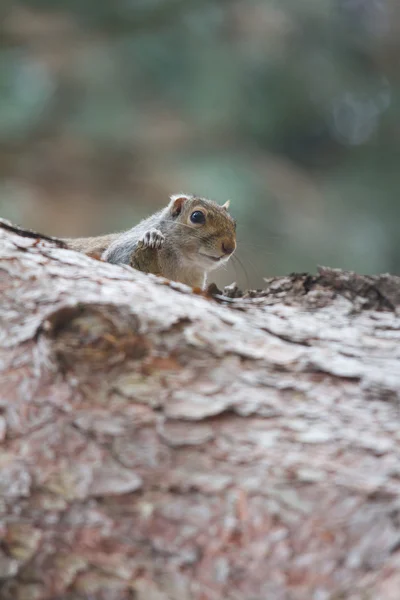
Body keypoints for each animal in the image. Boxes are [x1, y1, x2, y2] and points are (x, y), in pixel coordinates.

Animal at [64, 191, 236, 288]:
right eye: (197, 216)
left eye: (234, 223)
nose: (229, 247)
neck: (184, 264)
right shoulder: (124, 251)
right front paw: (153, 235)